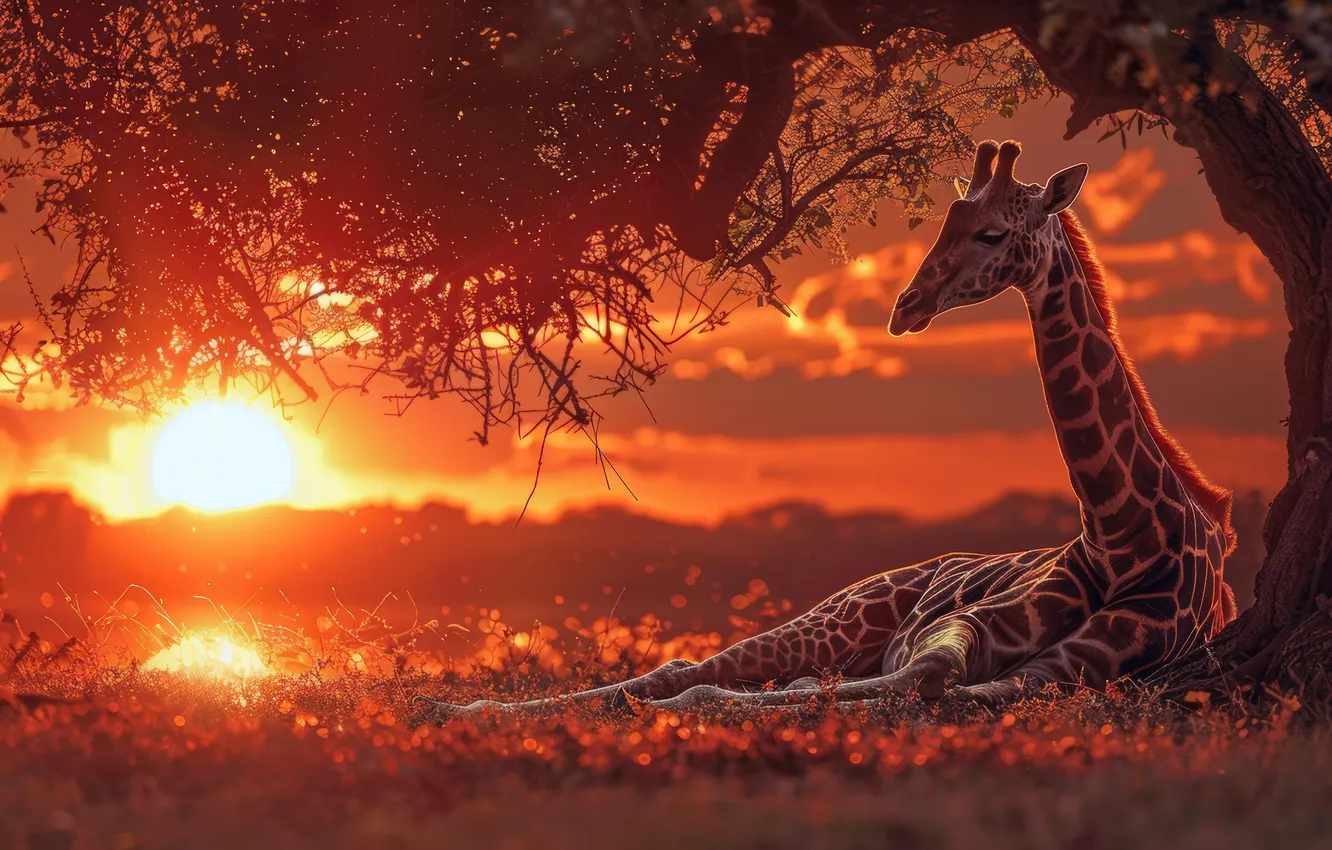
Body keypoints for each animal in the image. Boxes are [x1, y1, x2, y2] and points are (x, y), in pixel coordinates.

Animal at [427, 139, 1236, 718]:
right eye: (945, 224)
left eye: (990, 232)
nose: (905, 307)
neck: (1126, 533)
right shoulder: (980, 628)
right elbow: (924, 674)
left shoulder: (1076, 667)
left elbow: (940, 685)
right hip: (838, 619)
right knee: (689, 666)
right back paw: (461, 706)